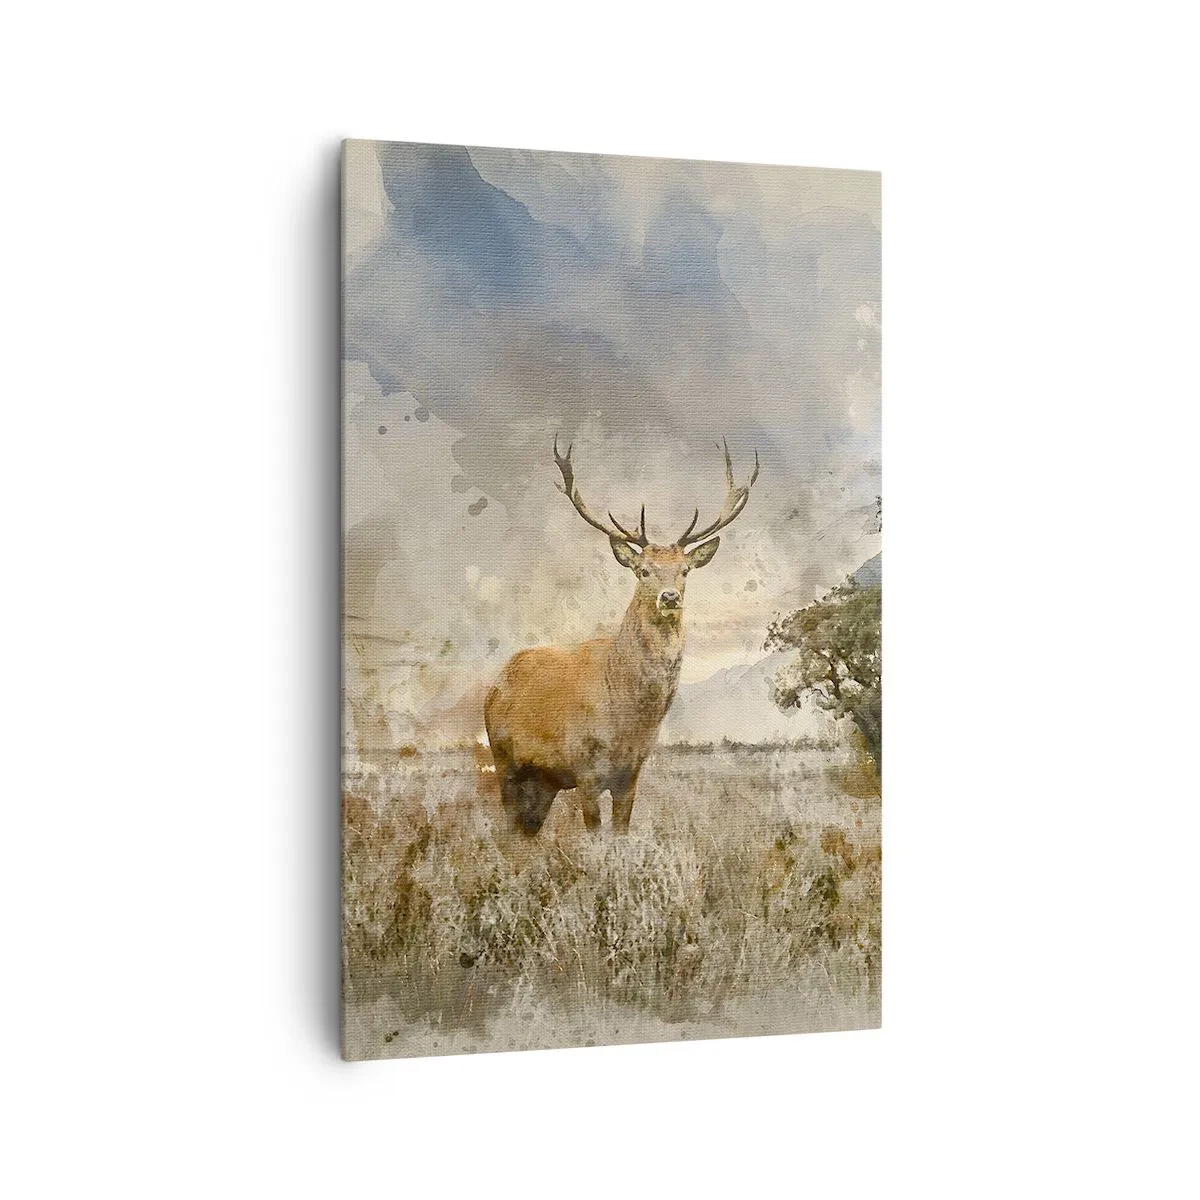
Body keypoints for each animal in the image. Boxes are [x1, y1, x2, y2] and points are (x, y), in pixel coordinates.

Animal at [483, 437, 759, 835]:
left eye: (685, 571)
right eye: (643, 570)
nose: (669, 597)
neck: (629, 718)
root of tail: (494, 684)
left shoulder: (631, 773)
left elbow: (621, 833)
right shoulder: (583, 766)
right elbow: (595, 833)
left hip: (543, 780)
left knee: (527, 831)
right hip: (503, 757)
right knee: (508, 826)